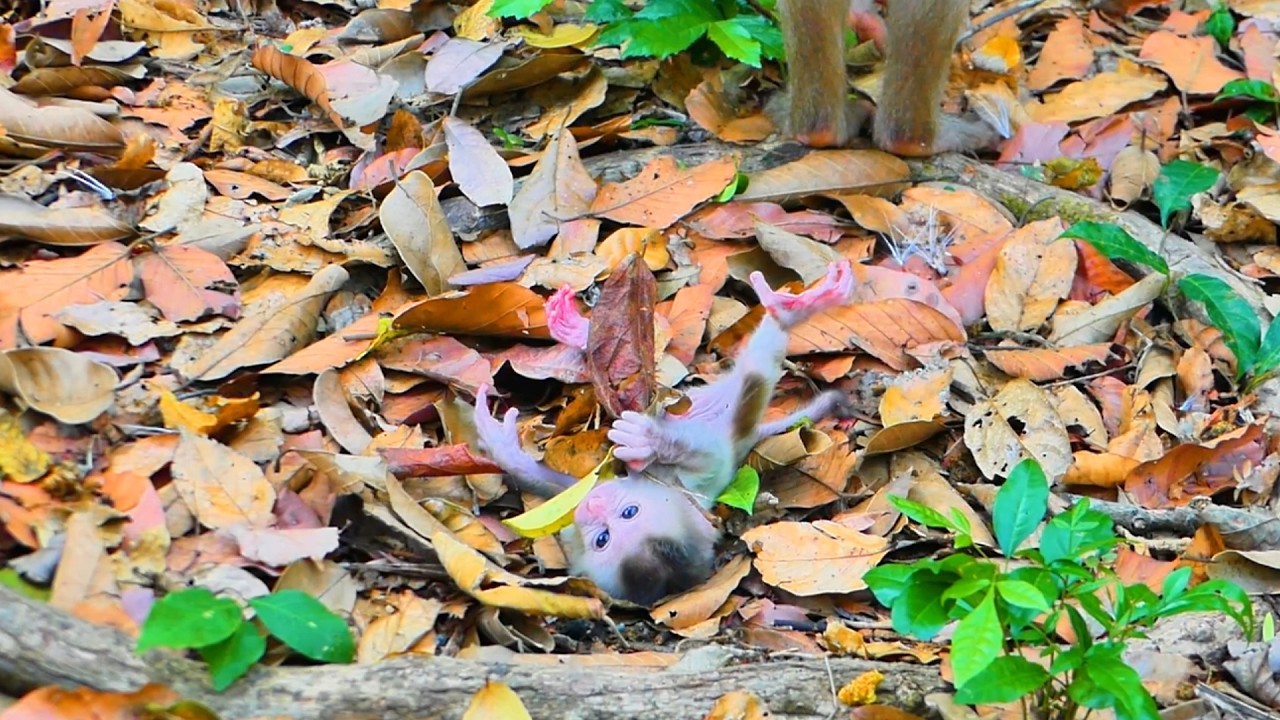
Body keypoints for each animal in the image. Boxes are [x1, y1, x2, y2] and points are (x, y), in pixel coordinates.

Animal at [471, 261, 855, 605]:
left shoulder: (692, 487)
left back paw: (788, 312)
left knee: (754, 376)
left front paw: (651, 441)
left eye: (628, 515)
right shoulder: (576, 502)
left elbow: (710, 456)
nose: (592, 506)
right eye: (601, 539)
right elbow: (560, 489)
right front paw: (505, 449)